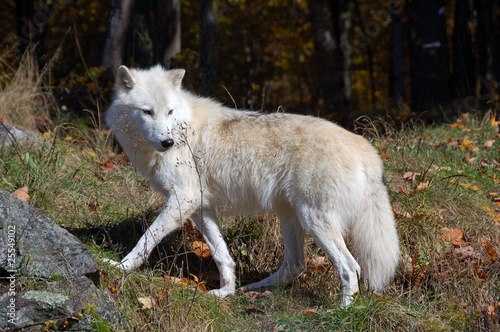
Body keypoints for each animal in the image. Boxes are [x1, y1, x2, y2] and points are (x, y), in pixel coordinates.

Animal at [104, 65, 398, 306]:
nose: (168, 142)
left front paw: (120, 267)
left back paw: (343, 310)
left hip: (314, 220)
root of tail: (366, 148)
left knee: (350, 267)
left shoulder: (182, 199)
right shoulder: (200, 208)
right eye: (147, 112)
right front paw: (226, 292)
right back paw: (254, 288)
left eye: (169, 111)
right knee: (296, 264)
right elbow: (222, 255)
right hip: (290, 218)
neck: (184, 128)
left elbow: (146, 239)